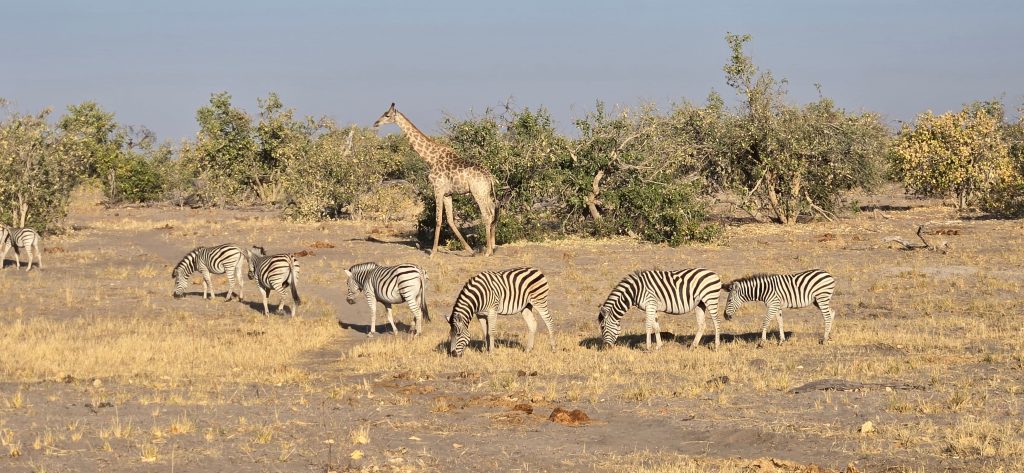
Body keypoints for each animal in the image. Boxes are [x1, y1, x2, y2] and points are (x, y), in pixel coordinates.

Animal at [373, 103, 497, 257]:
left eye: (387, 115)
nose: (375, 123)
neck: (431, 159)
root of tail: (489, 177)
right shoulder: (447, 193)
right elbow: (450, 220)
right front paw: (470, 250)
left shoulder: (437, 188)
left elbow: (438, 219)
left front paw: (432, 252)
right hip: (486, 192)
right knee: (494, 210)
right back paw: (493, 246)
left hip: (477, 192)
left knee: (487, 214)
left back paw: (488, 251)